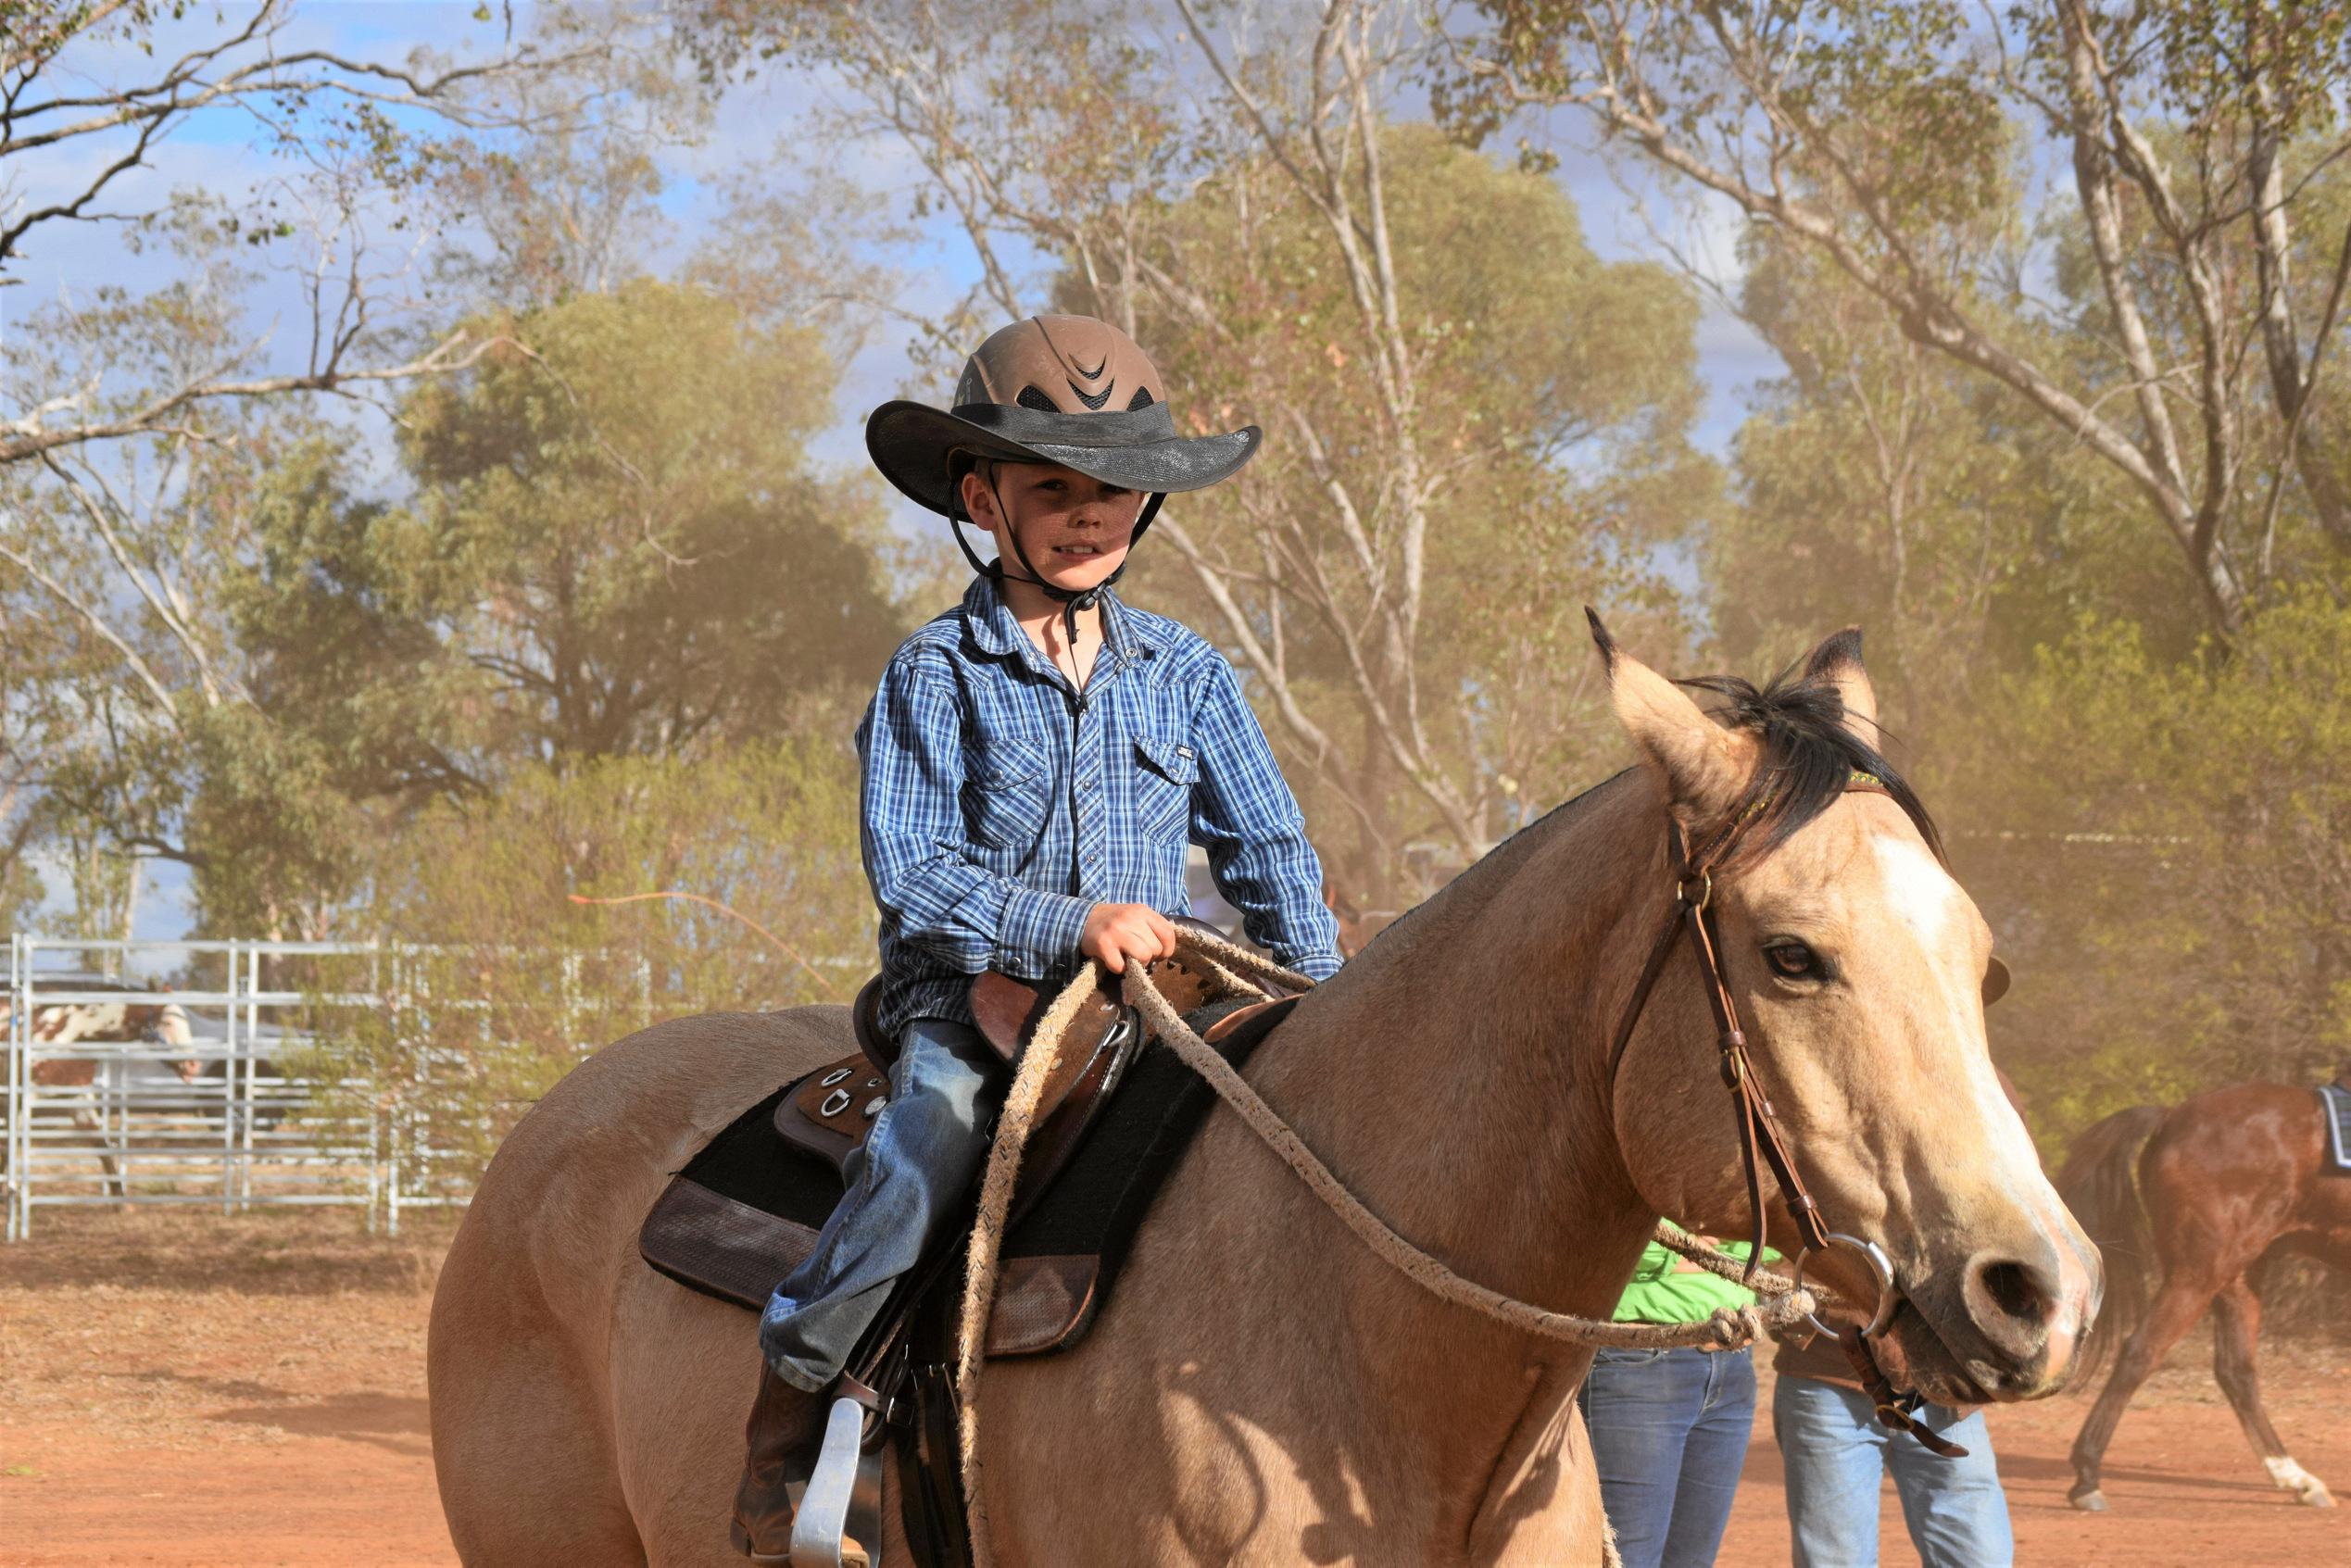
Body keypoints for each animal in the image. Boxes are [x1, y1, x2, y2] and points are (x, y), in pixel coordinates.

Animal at [2050, 1085, 2341, 1513]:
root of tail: (2171, 1117)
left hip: (2237, 1277)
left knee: (2236, 1372)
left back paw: (2295, 1478)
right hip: (2199, 1274)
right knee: (2141, 1352)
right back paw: (2087, 1476)